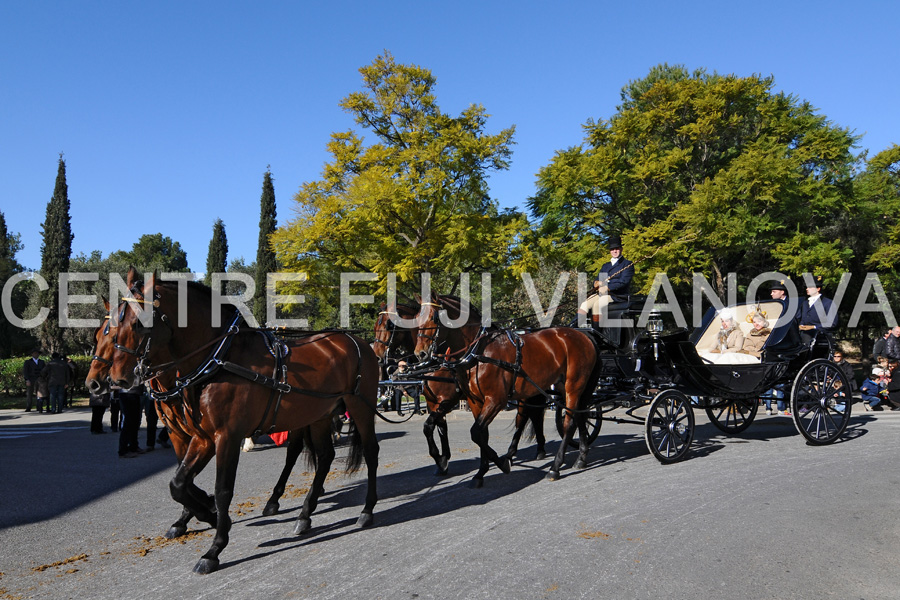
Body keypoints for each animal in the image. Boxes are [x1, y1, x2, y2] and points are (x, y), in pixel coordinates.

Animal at [102, 270, 380, 572]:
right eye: (114, 323)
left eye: (139, 322)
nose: (117, 379)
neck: (219, 359)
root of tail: (357, 342)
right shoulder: (202, 438)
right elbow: (178, 483)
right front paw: (207, 514)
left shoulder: (227, 436)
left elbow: (223, 490)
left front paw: (214, 547)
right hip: (319, 414)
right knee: (326, 456)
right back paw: (305, 515)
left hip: (360, 408)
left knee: (370, 452)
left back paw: (367, 510)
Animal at [416, 296, 600, 488]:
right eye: (416, 318)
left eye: (433, 318)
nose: (420, 353)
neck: (479, 351)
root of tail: (584, 336)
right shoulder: (473, 402)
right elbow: (479, 434)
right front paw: (479, 472)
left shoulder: (494, 400)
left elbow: (475, 432)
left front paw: (501, 463)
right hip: (561, 388)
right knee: (577, 415)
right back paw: (580, 458)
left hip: (574, 386)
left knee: (568, 423)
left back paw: (555, 467)